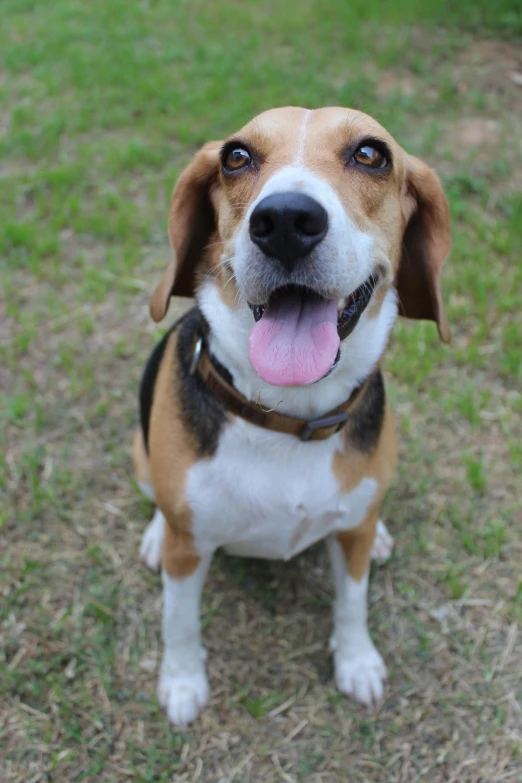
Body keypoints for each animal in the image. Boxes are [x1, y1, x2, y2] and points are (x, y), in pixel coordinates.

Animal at [132, 105, 448, 728]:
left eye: (371, 154)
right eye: (235, 157)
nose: (283, 220)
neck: (284, 415)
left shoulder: (350, 548)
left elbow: (352, 603)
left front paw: (357, 662)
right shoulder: (187, 557)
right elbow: (178, 621)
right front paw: (181, 683)